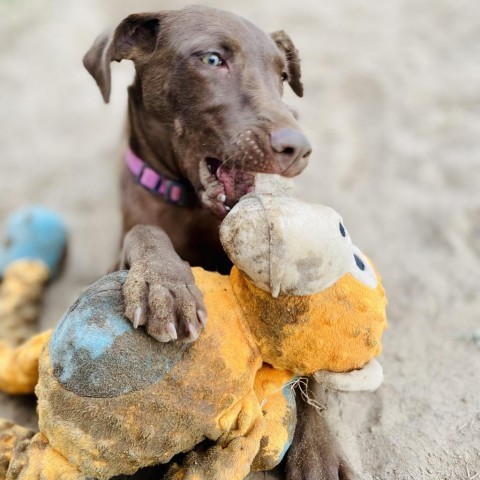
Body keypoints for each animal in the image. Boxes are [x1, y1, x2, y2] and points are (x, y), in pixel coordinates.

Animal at [81, 4, 352, 480]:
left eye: (283, 75)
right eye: (211, 60)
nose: (299, 149)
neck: (193, 206)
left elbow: (306, 360)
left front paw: (318, 447)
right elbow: (143, 232)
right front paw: (164, 285)